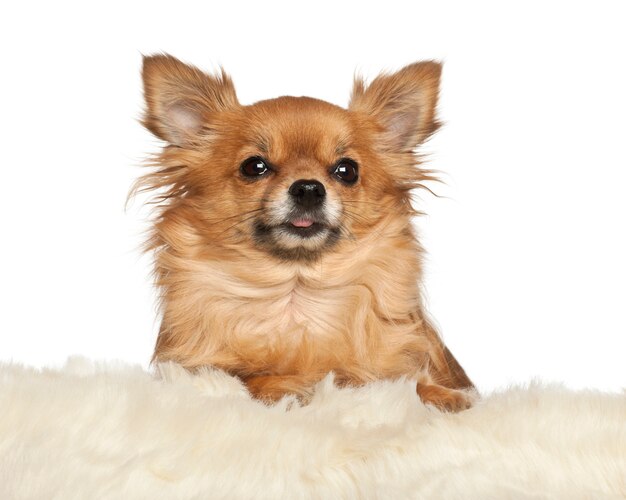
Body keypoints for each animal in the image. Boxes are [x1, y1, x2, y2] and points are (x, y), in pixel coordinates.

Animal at [135, 54, 472, 412]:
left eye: (347, 170)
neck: (294, 289)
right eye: (254, 167)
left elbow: (406, 385)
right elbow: (251, 379)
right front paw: (298, 386)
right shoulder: (199, 370)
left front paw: (444, 397)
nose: (309, 188)